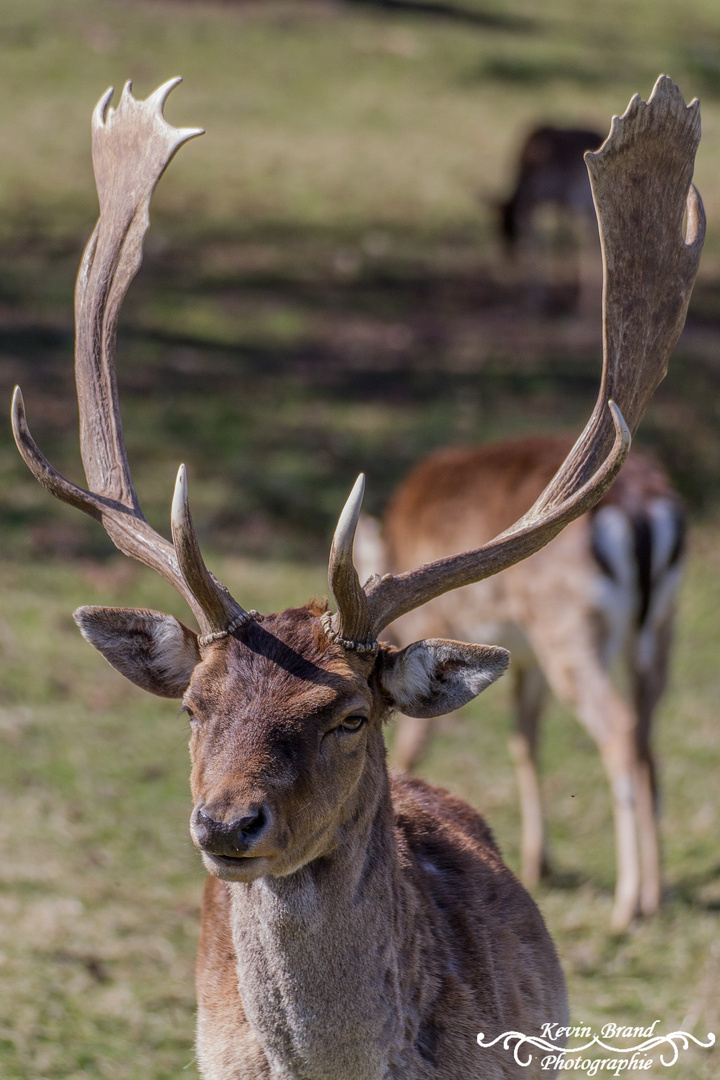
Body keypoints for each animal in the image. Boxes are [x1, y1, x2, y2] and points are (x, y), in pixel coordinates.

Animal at [360, 436, 686, 928]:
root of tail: (641, 510)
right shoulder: (525, 657)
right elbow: (524, 738)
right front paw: (537, 863)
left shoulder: (438, 622)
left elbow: (417, 740)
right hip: (660, 629)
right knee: (647, 735)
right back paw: (654, 893)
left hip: (569, 630)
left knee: (620, 726)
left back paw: (626, 904)